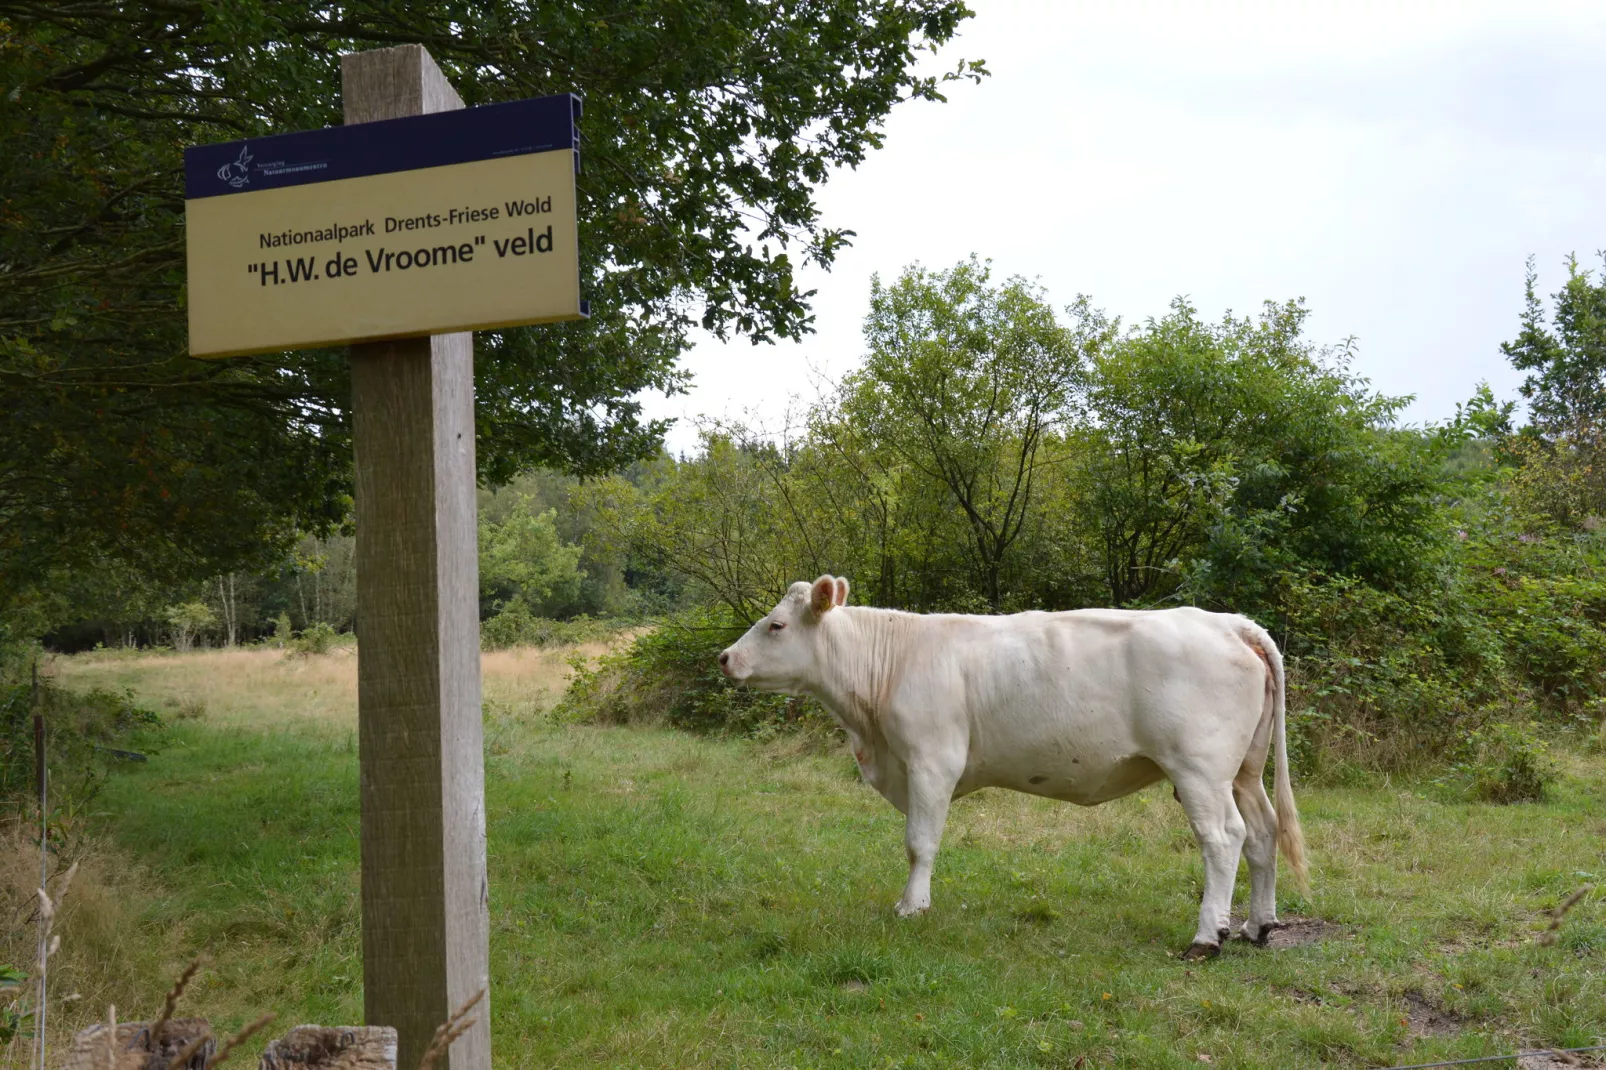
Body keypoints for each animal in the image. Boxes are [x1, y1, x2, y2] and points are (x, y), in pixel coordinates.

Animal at [722, 575, 1310, 957]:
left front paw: (912, 907)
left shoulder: (932, 760)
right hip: (1244, 770)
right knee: (1263, 832)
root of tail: (1230, 623)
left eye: (776, 626)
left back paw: (1208, 937)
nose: (725, 657)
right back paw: (1258, 925)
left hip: (1200, 769)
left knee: (1223, 838)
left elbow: (919, 843)